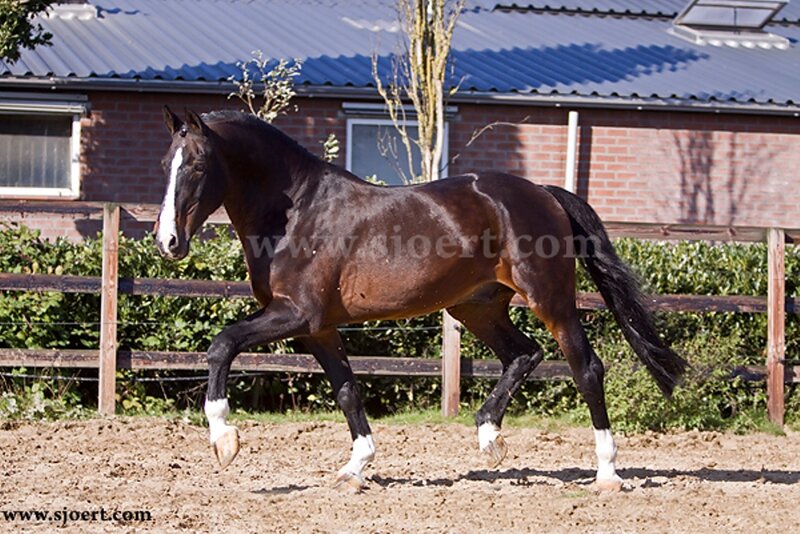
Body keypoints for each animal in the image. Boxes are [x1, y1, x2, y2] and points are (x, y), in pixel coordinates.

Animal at [154, 106, 687, 492]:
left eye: (197, 164)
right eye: (166, 165)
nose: (168, 242)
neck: (295, 213)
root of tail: (543, 193)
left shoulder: (296, 314)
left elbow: (222, 344)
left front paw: (224, 439)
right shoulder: (318, 328)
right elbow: (347, 390)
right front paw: (355, 468)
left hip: (549, 299)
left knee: (585, 367)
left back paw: (607, 473)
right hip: (475, 306)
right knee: (523, 354)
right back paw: (490, 438)